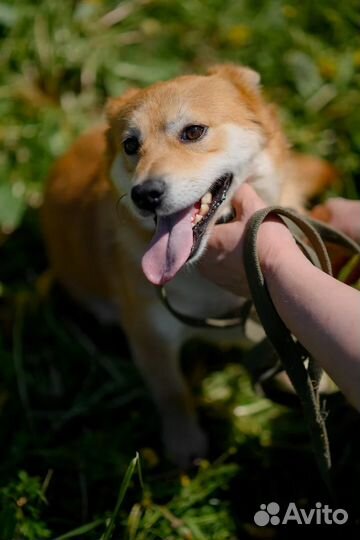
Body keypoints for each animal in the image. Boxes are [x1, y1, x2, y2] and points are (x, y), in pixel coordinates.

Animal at [43, 65, 336, 466]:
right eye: (130, 145)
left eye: (193, 132)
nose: (145, 195)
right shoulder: (150, 334)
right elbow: (172, 393)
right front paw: (185, 444)